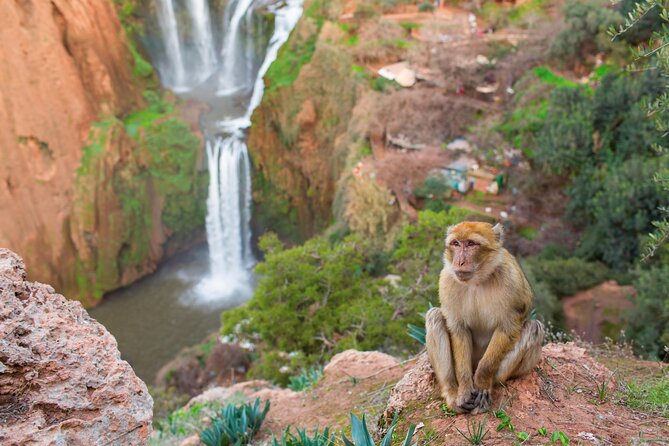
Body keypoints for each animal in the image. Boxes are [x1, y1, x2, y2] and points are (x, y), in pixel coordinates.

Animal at [428, 222, 544, 414]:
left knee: (534, 327)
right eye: (456, 243)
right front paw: (464, 389)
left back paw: (489, 385)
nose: (459, 262)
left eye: (471, 244)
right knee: (434, 315)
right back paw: (452, 392)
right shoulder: (446, 281)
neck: (477, 280)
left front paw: (482, 384)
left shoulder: (511, 282)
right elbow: (458, 329)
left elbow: (507, 328)